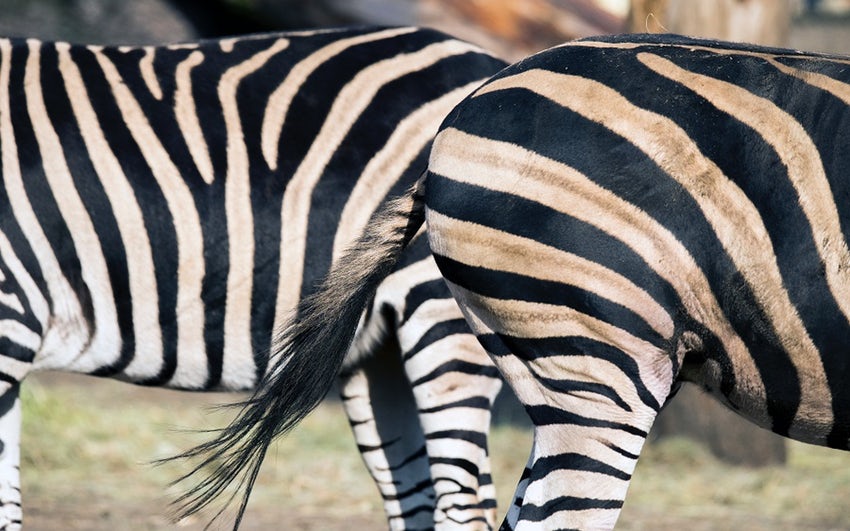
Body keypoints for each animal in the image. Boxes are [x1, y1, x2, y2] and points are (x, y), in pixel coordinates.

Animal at [0, 26, 508, 530]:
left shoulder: (10, 322)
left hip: (443, 318)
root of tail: (495, 64)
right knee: (423, 499)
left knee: (465, 504)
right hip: (379, 350)